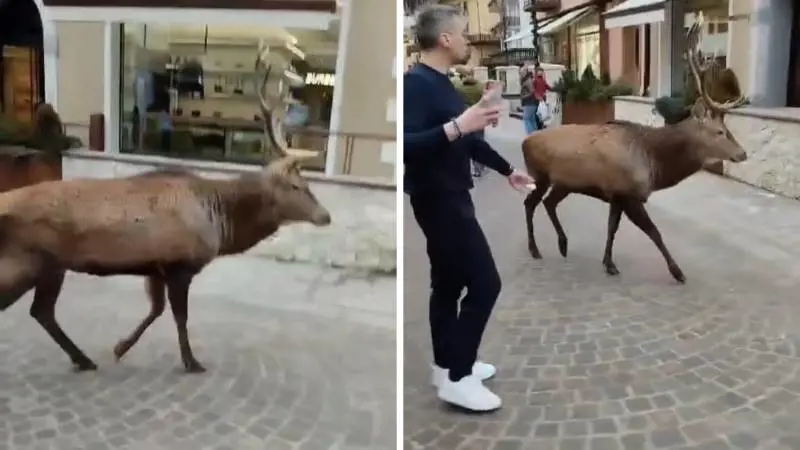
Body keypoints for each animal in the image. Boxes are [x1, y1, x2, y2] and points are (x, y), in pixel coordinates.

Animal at [520, 16, 747, 283]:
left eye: (727, 128)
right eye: (719, 131)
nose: (742, 153)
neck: (654, 165)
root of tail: (525, 142)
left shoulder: (616, 195)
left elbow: (612, 228)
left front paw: (608, 263)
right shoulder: (628, 193)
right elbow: (653, 231)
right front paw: (677, 272)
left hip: (564, 183)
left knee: (548, 203)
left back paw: (563, 244)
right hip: (540, 176)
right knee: (529, 203)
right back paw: (535, 249)